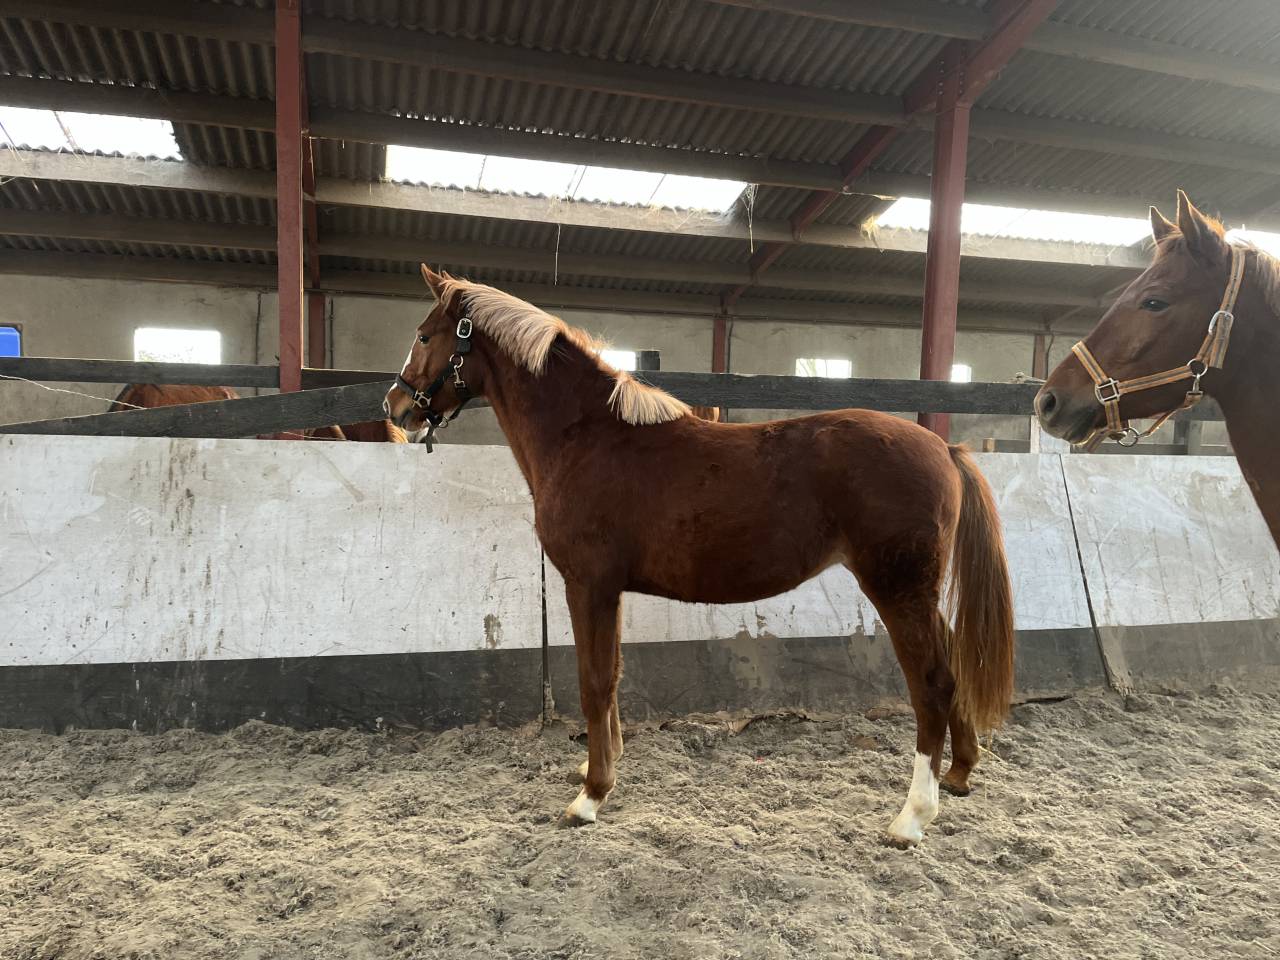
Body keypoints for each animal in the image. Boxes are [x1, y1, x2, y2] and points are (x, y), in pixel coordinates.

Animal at [384, 266, 1015, 846]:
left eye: (423, 334)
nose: (395, 407)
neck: (587, 437)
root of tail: (944, 447)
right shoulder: (610, 590)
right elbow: (612, 675)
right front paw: (602, 766)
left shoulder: (587, 584)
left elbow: (593, 681)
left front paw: (590, 796)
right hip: (919, 593)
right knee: (953, 667)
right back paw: (959, 774)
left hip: (897, 590)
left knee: (932, 683)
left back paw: (912, 817)